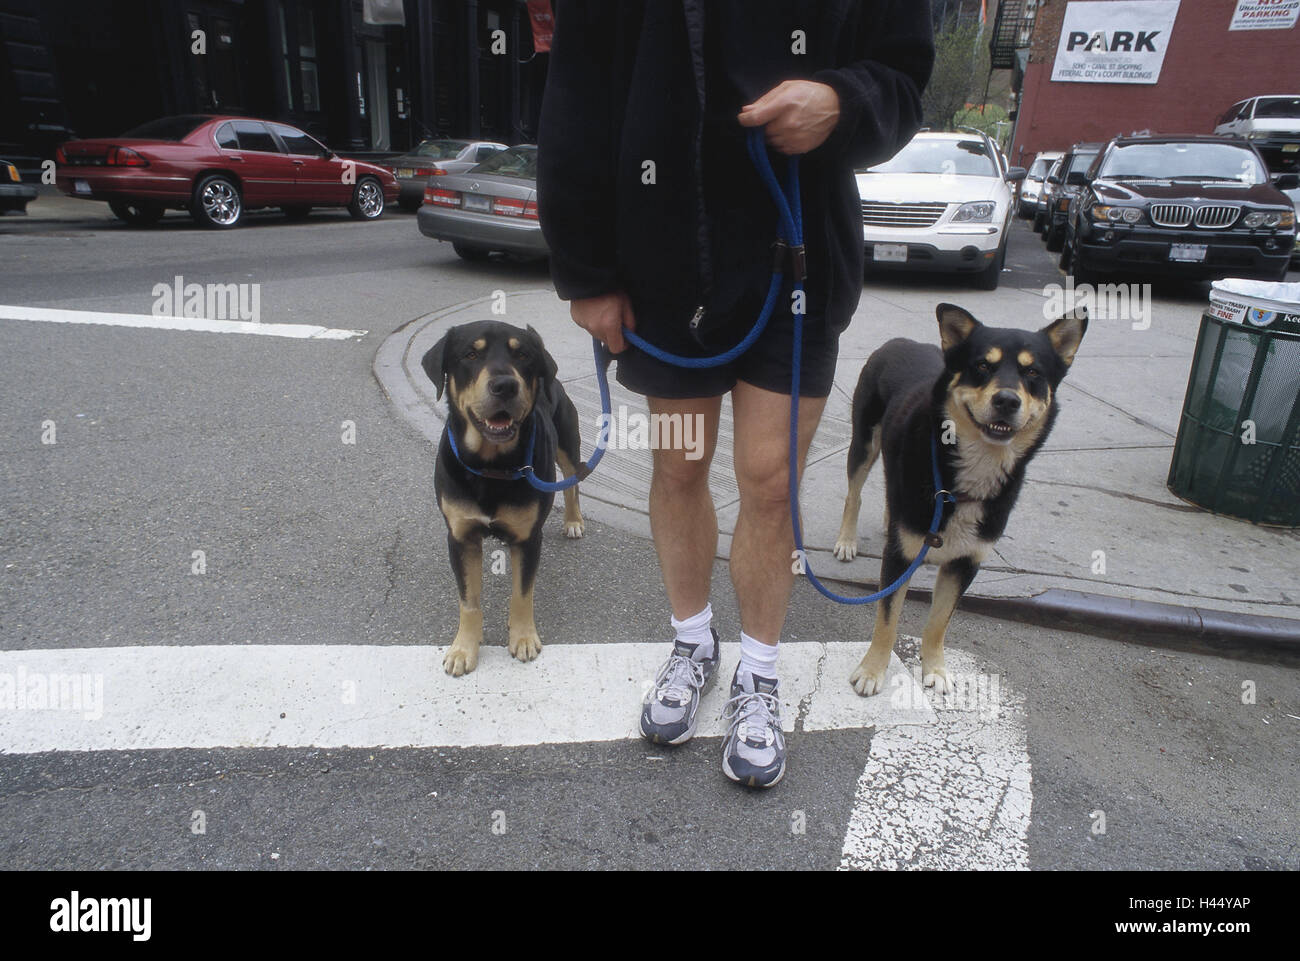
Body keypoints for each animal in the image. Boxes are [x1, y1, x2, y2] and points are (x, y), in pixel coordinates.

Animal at [421, 321, 585, 676]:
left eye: (522, 355)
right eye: (470, 354)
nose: (505, 385)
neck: (491, 466)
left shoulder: (528, 537)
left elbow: (522, 593)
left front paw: (522, 638)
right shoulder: (461, 536)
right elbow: (469, 600)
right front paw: (463, 649)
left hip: (568, 441)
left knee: (572, 481)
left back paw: (574, 521)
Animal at [832, 304, 1086, 697]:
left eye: (1032, 372)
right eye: (982, 365)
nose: (1007, 400)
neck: (970, 474)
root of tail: (899, 340)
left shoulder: (966, 563)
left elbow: (940, 622)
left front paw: (935, 669)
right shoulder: (899, 558)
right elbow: (888, 619)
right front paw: (872, 671)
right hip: (865, 441)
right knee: (854, 494)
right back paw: (847, 539)